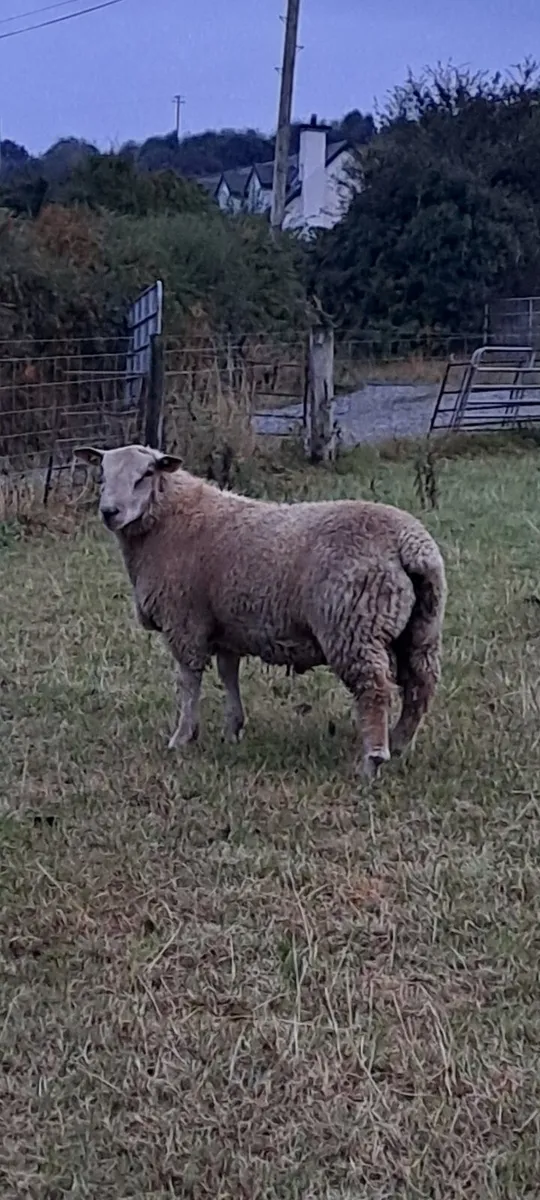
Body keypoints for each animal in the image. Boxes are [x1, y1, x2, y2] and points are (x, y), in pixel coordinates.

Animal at [74, 443, 447, 778]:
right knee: (421, 685)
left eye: (146, 474)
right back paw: (401, 743)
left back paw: (373, 760)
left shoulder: (185, 622)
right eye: (101, 475)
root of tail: (409, 544)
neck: (167, 520)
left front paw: (182, 737)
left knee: (375, 689)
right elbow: (228, 674)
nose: (109, 512)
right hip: (421, 628)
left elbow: (189, 681)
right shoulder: (225, 625)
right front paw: (233, 729)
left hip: (354, 627)